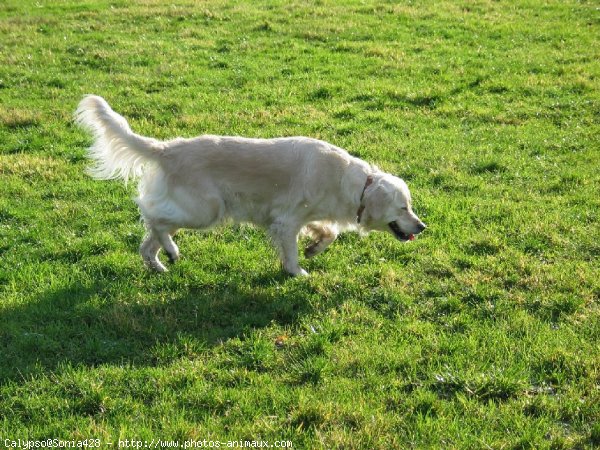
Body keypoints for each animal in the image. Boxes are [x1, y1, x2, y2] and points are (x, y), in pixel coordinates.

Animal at [74, 96, 426, 274]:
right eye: (403, 207)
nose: (422, 227)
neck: (351, 183)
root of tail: (167, 148)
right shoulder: (285, 221)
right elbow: (293, 251)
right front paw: (297, 272)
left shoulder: (307, 217)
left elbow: (328, 233)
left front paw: (314, 248)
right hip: (205, 210)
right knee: (151, 216)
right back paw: (172, 251)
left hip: (188, 209)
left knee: (148, 237)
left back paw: (160, 264)